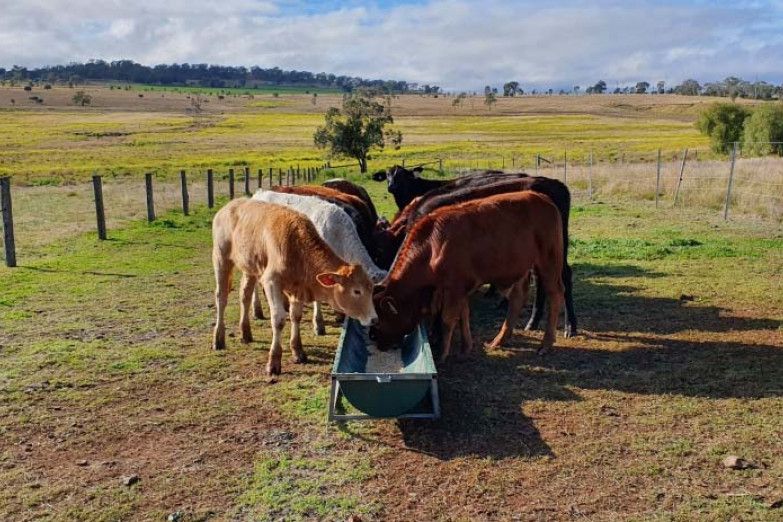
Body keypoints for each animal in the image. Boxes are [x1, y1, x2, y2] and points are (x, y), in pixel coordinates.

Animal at [211, 198, 376, 374]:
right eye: (357, 291)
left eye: (371, 289)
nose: (374, 319)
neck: (297, 248)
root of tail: (231, 204)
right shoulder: (271, 281)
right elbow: (278, 319)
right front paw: (274, 361)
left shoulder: (298, 288)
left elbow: (295, 316)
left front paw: (298, 351)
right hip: (221, 258)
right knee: (221, 298)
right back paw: (218, 339)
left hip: (249, 267)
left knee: (245, 295)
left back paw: (246, 332)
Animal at [372, 189, 564, 360]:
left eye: (380, 319)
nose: (375, 340)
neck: (433, 246)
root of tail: (542, 198)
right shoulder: (461, 287)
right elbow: (463, 315)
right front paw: (466, 347)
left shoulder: (454, 288)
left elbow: (448, 319)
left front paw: (442, 354)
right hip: (520, 267)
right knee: (518, 298)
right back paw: (499, 340)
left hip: (549, 261)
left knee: (554, 294)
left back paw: (545, 344)